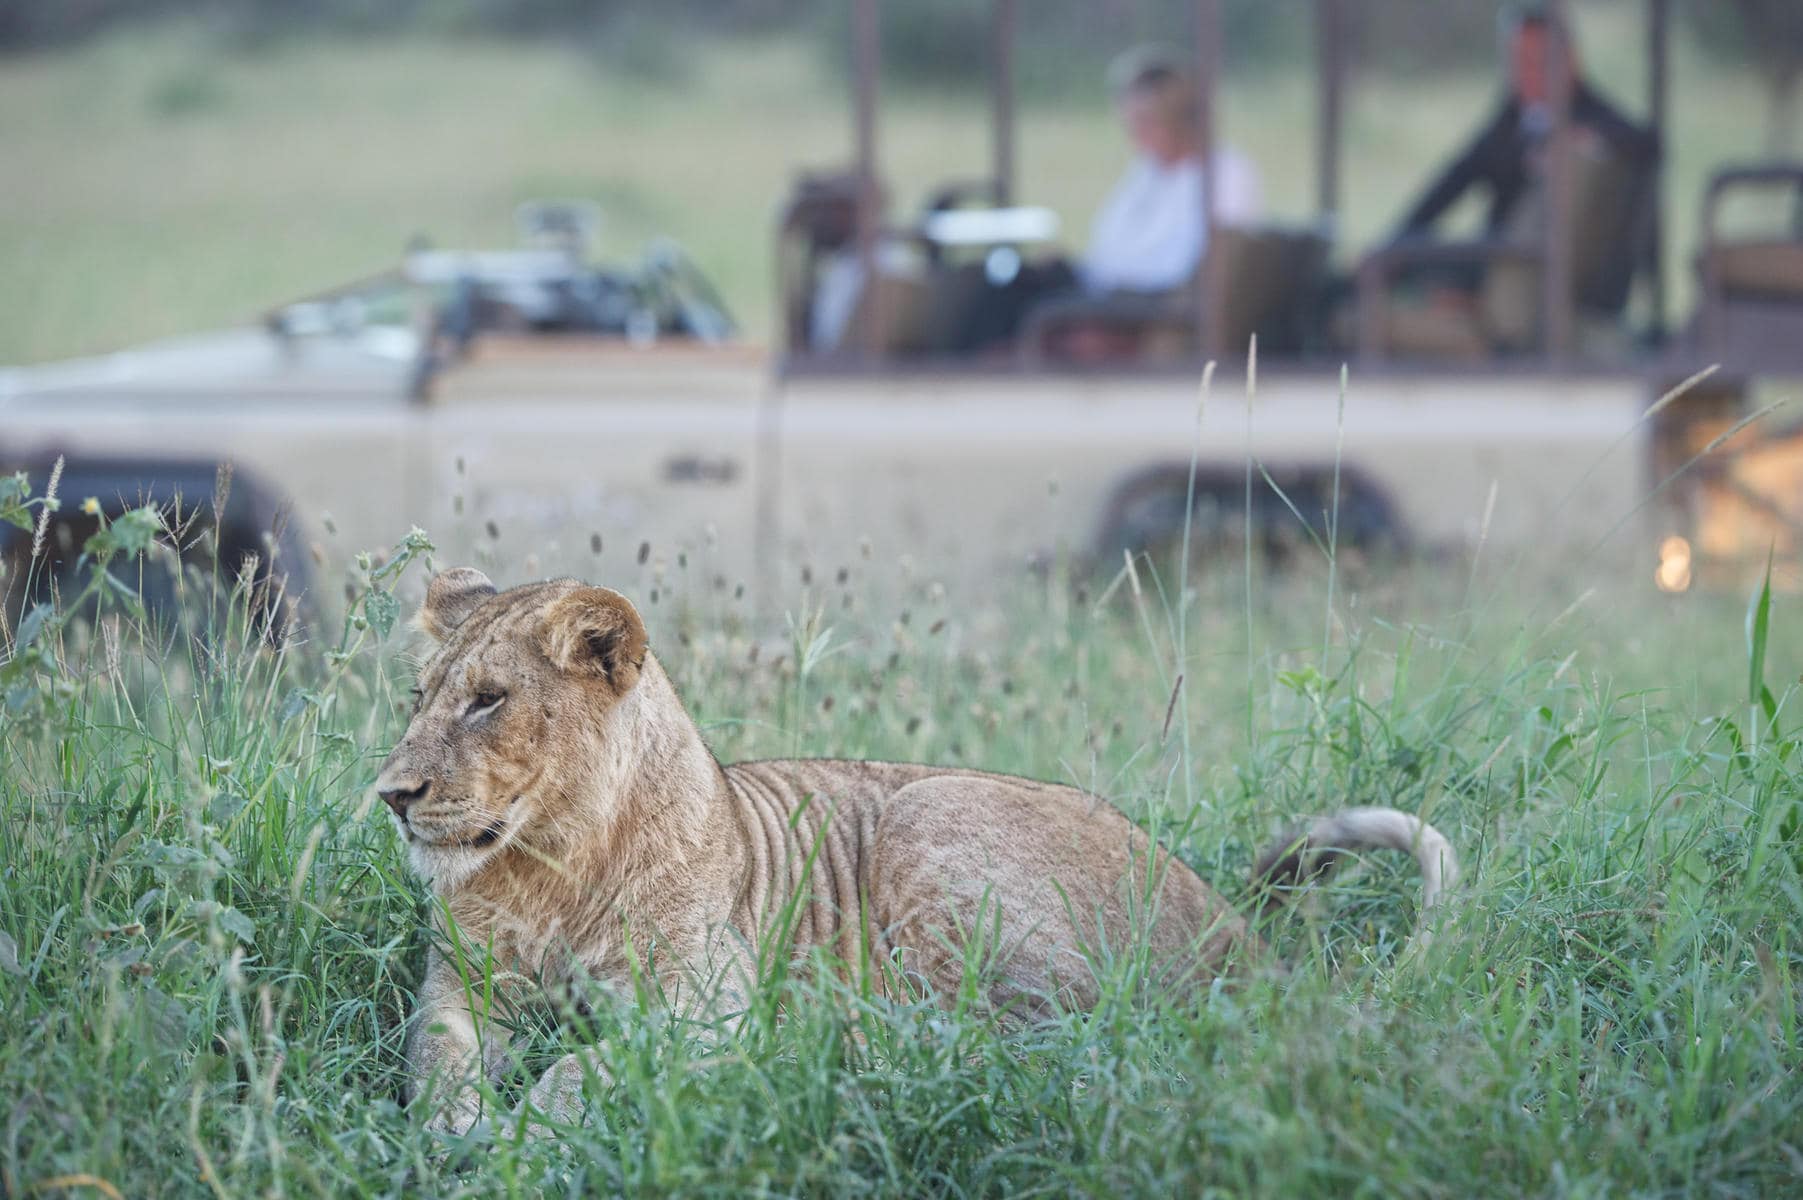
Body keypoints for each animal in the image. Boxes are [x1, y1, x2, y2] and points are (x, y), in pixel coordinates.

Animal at [374, 568, 1460, 1136]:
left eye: (487, 700)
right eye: (419, 696)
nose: (390, 796)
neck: (550, 866)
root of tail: (1239, 938)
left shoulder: (712, 1016)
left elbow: (581, 1069)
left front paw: (517, 1135)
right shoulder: (460, 985)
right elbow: (435, 1061)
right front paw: (452, 1132)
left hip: (929, 820)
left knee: (1051, 1043)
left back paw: (848, 1053)